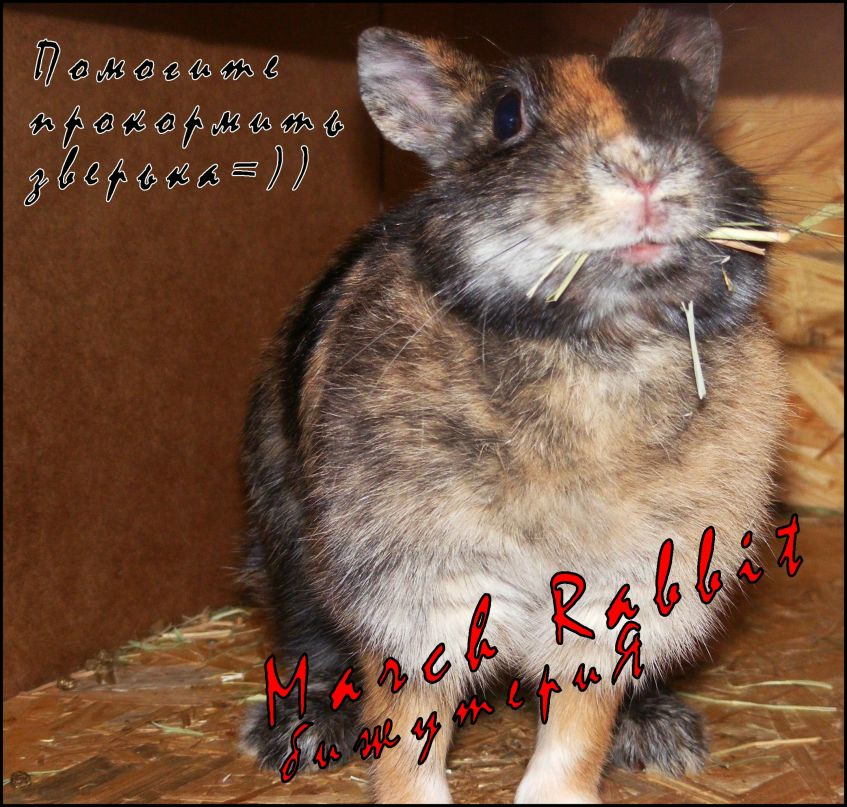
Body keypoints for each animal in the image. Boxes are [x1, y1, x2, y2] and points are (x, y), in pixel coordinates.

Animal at [239, 7, 788, 803]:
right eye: (506, 116)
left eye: (686, 108)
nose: (644, 172)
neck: (595, 345)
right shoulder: (418, 589)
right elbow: (410, 726)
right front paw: (412, 796)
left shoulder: (619, 595)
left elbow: (578, 726)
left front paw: (559, 792)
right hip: (284, 544)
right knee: (304, 635)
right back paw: (300, 732)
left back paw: (657, 729)